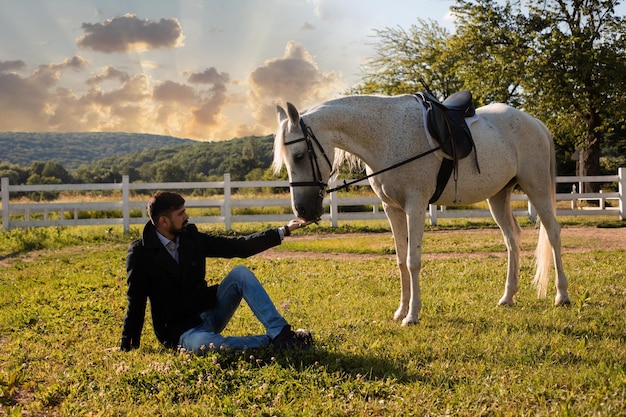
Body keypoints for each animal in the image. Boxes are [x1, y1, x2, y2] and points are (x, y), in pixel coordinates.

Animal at [270, 93, 568, 324]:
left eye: (299, 156)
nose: (302, 212)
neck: (386, 135)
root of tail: (535, 122)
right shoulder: (392, 209)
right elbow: (401, 260)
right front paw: (401, 310)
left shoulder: (415, 206)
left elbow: (413, 261)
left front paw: (412, 315)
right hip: (497, 197)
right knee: (511, 239)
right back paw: (508, 296)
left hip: (537, 187)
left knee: (553, 233)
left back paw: (561, 295)